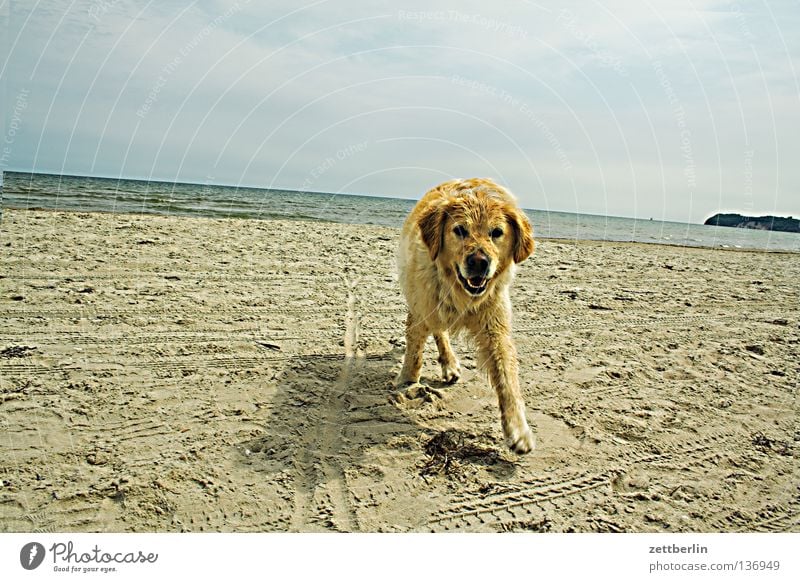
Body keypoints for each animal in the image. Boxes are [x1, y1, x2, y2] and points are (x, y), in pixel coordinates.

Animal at [396, 178, 536, 456]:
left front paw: (518, 430)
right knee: (438, 330)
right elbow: (415, 352)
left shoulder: (495, 326)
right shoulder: (421, 306)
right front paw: (408, 382)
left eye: (496, 232)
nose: (479, 262)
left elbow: (507, 378)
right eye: (460, 230)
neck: (460, 293)